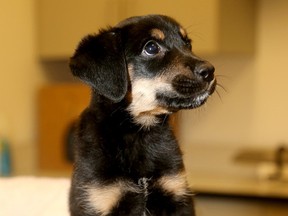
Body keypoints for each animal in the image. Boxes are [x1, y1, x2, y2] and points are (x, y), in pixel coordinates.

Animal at [68, 14, 215, 215]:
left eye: (188, 44)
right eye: (151, 48)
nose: (210, 71)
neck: (138, 132)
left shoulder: (177, 193)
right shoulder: (98, 199)